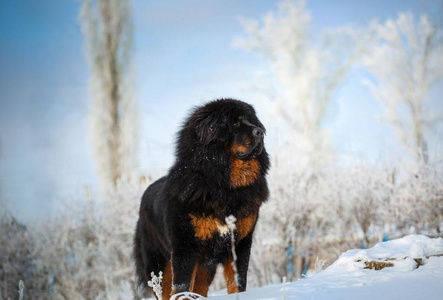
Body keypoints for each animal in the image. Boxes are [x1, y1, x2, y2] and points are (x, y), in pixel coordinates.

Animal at [133, 99, 270, 298]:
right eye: (234, 123)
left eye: (251, 120)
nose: (260, 131)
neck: (225, 186)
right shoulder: (185, 248)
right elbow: (181, 289)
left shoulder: (240, 244)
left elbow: (238, 283)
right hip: (159, 267)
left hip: (205, 266)